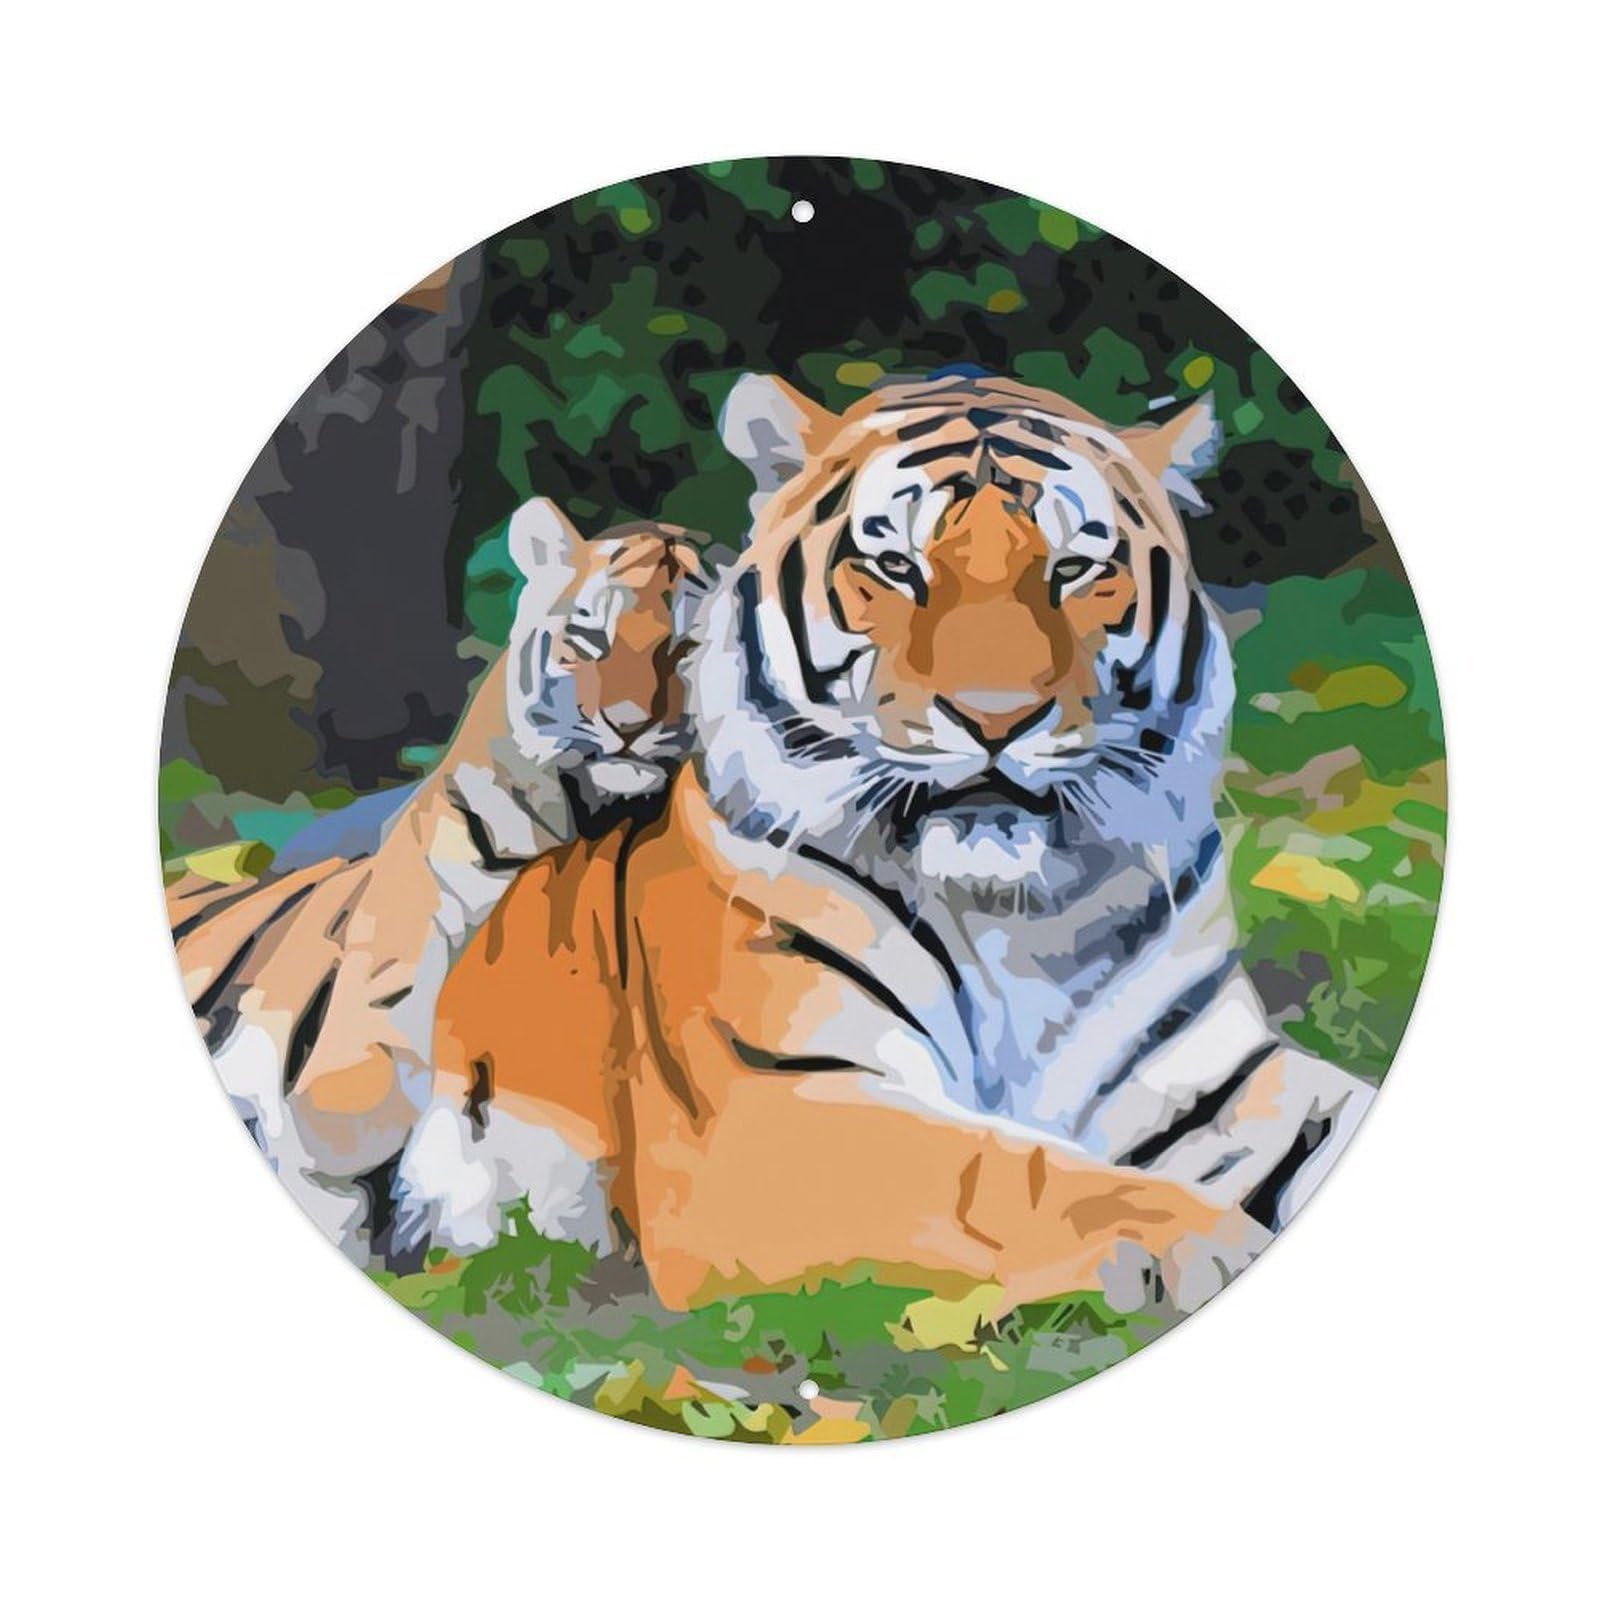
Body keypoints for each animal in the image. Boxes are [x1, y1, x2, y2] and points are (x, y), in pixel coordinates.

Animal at [416, 369, 1375, 1316]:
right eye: (896, 568)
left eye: (1073, 570)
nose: (997, 719)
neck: (1015, 916)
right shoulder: (771, 1105)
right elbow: (1005, 1172)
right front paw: (1203, 1244)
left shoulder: (1214, 1078)